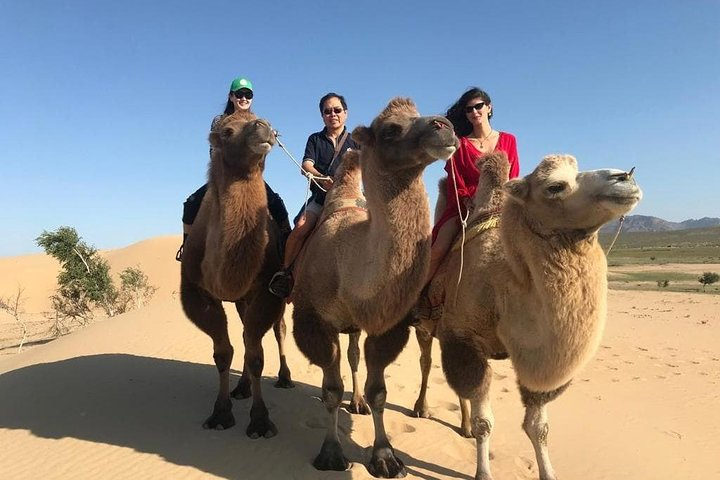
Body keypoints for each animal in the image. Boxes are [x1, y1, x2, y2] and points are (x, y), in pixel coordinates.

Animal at [180, 110, 292, 440]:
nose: (264, 127)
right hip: (241, 300)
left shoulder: (268, 290)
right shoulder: (196, 293)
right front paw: (220, 413)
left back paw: (284, 378)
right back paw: (241, 388)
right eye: (227, 131)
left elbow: (256, 355)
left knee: (277, 331)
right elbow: (223, 353)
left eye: (261, 119)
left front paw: (260, 422)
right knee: (243, 334)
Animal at [292, 96, 456, 476]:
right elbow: (330, 389)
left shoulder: (387, 325)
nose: (445, 125)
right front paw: (331, 453)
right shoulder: (313, 321)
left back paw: (357, 402)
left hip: (354, 325)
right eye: (391, 129)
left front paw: (384, 456)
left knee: (353, 356)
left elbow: (379, 390)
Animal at [424, 154, 640, 480]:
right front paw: (483, 472)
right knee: (425, 363)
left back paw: (461, 426)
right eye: (555, 186)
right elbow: (484, 423)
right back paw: (419, 409)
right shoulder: (465, 338)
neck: (503, 283)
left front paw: (548, 472)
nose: (625, 177)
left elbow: (538, 427)